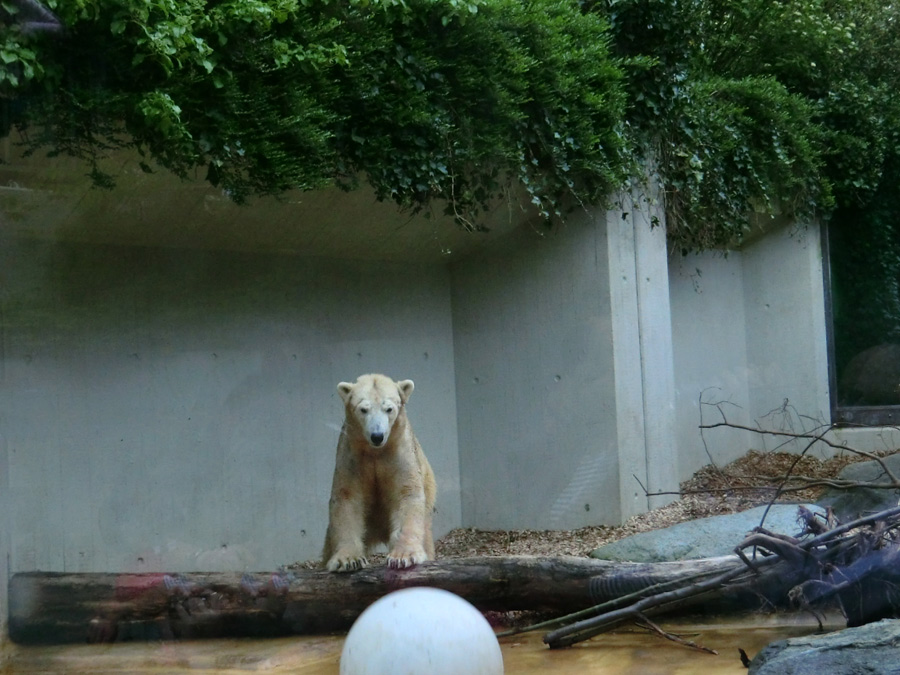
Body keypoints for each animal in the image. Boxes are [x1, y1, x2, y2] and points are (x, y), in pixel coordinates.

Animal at [322, 372, 438, 572]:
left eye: (389, 409)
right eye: (363, 409)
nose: (377, 436)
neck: (376, 451)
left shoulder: (400, 453)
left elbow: (406, 493)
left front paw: (403, 556)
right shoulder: (351, 456)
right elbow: (347, 497)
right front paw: (348, 560)